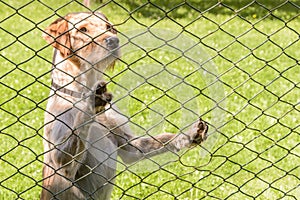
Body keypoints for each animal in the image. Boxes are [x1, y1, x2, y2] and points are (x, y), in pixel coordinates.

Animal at [40, 11, 209, 199]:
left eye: (108, 27)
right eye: (83, 29)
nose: (113, 40)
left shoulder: (128, 143)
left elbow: (163, 139)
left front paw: (189, 134)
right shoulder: (61, 161)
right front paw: (92, 102)